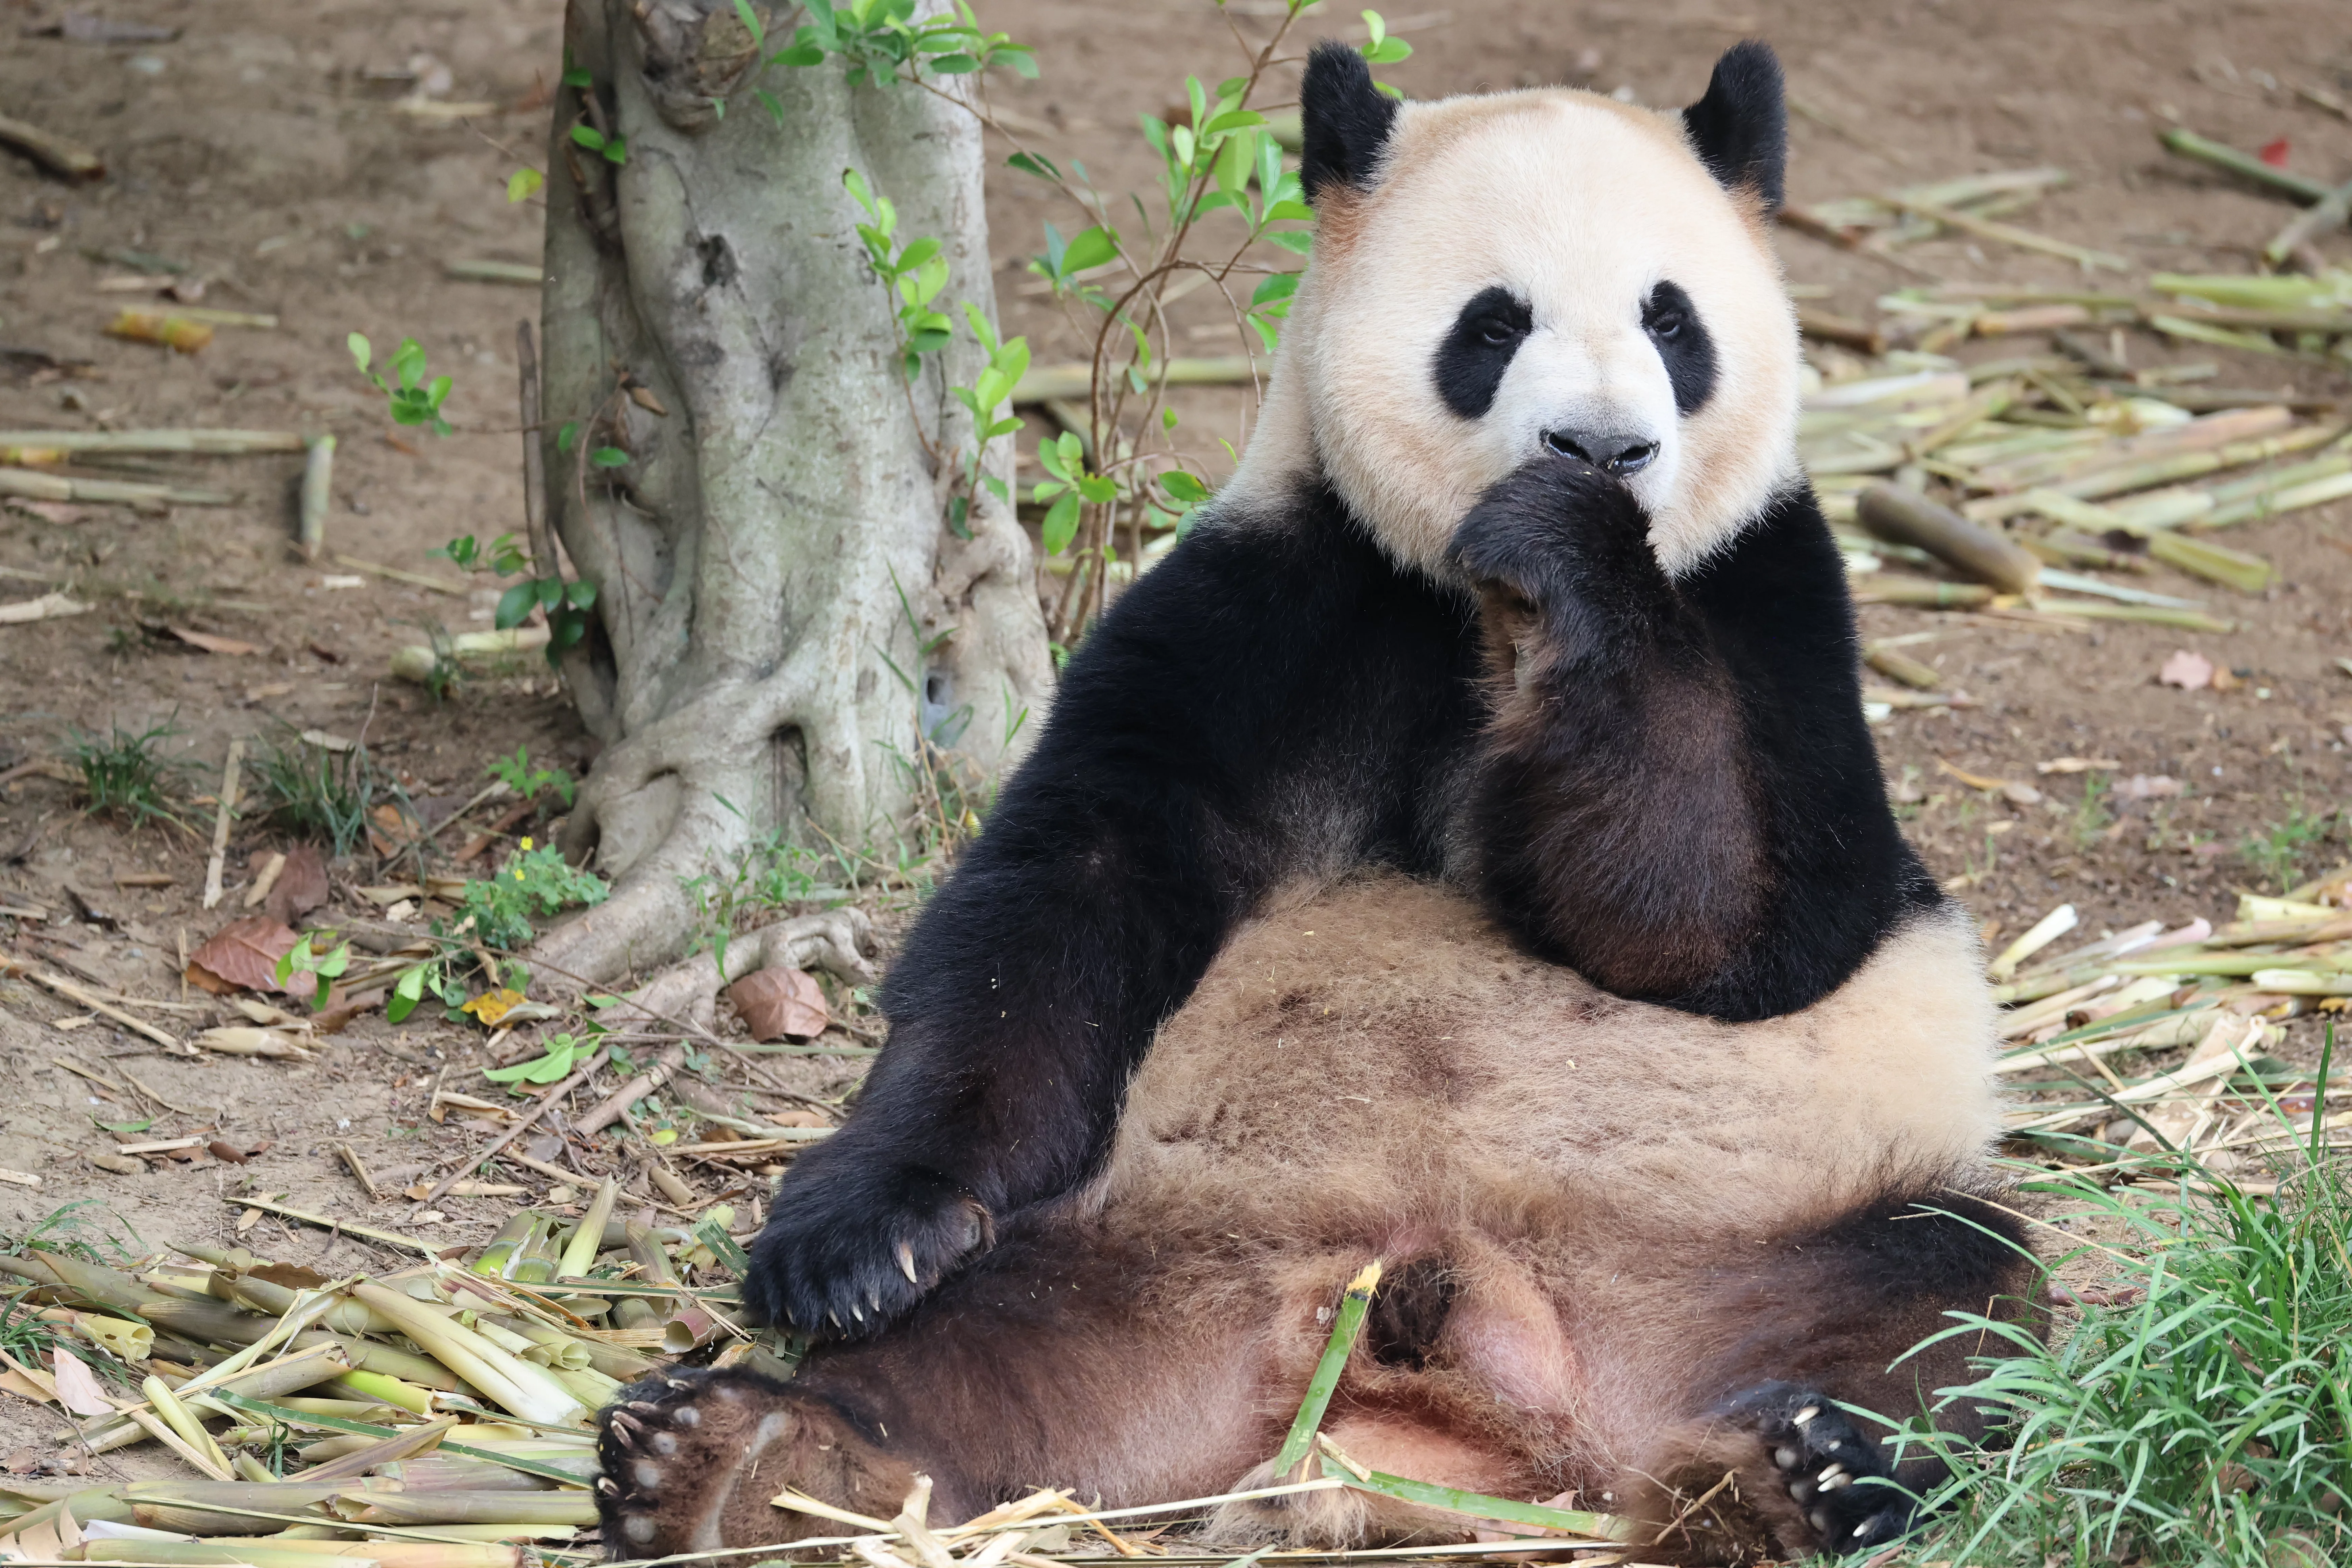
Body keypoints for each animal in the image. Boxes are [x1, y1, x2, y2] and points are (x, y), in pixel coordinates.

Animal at [589, 38, 2037, 1564]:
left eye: (1672, 319)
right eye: (1493, 324)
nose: (1601, 449)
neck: (1471, 607)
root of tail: (1434, 1381)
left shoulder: (1773, 600)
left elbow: (1739, 927)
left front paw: (1572, 552)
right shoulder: (1280, 592)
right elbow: (1061, 904)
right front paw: (857, 1239)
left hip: (1761, 1233)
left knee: (1945, 1304)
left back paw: (1784, 1474)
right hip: (1157, 1251)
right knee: (988, 1352)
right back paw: (745, 1458)